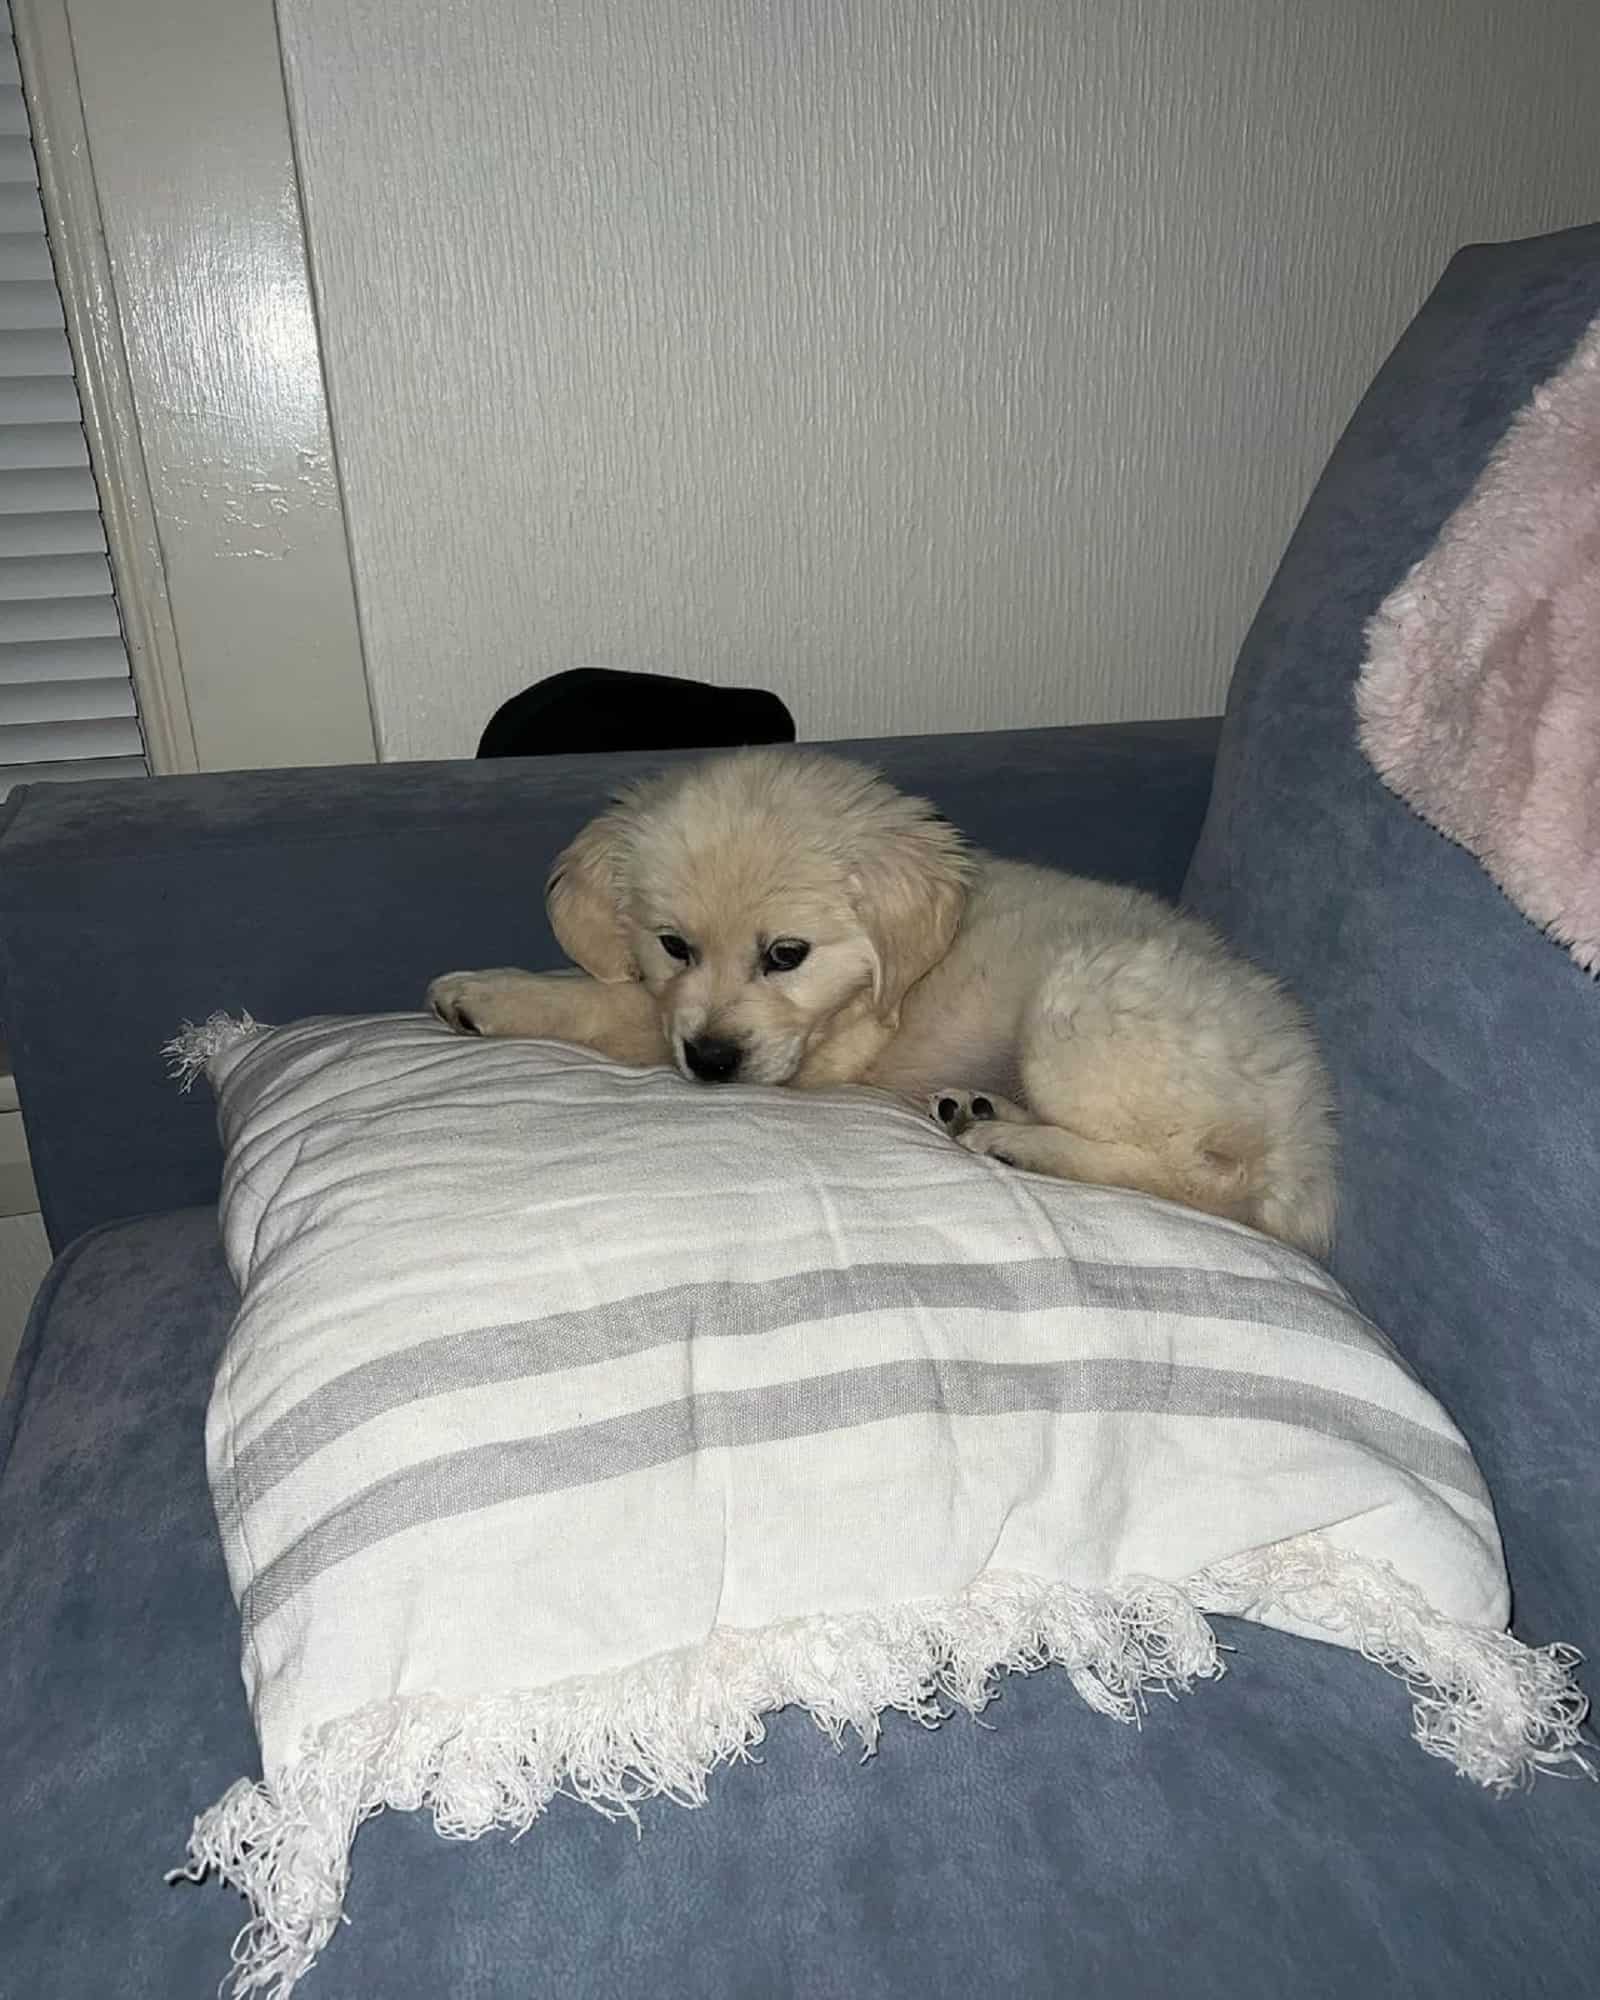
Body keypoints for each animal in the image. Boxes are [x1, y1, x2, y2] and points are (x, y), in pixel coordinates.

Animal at [428, 752, 1336, 1248]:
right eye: (673, 946)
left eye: (786, 954)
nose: (712, 1063)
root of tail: (1308, 1130)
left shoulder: (813, 1051)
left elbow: (609, 1007)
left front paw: (482, 991)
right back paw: (981, 1107)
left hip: (1080, 1011)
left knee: (1209, 1182)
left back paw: (1019, 1143)